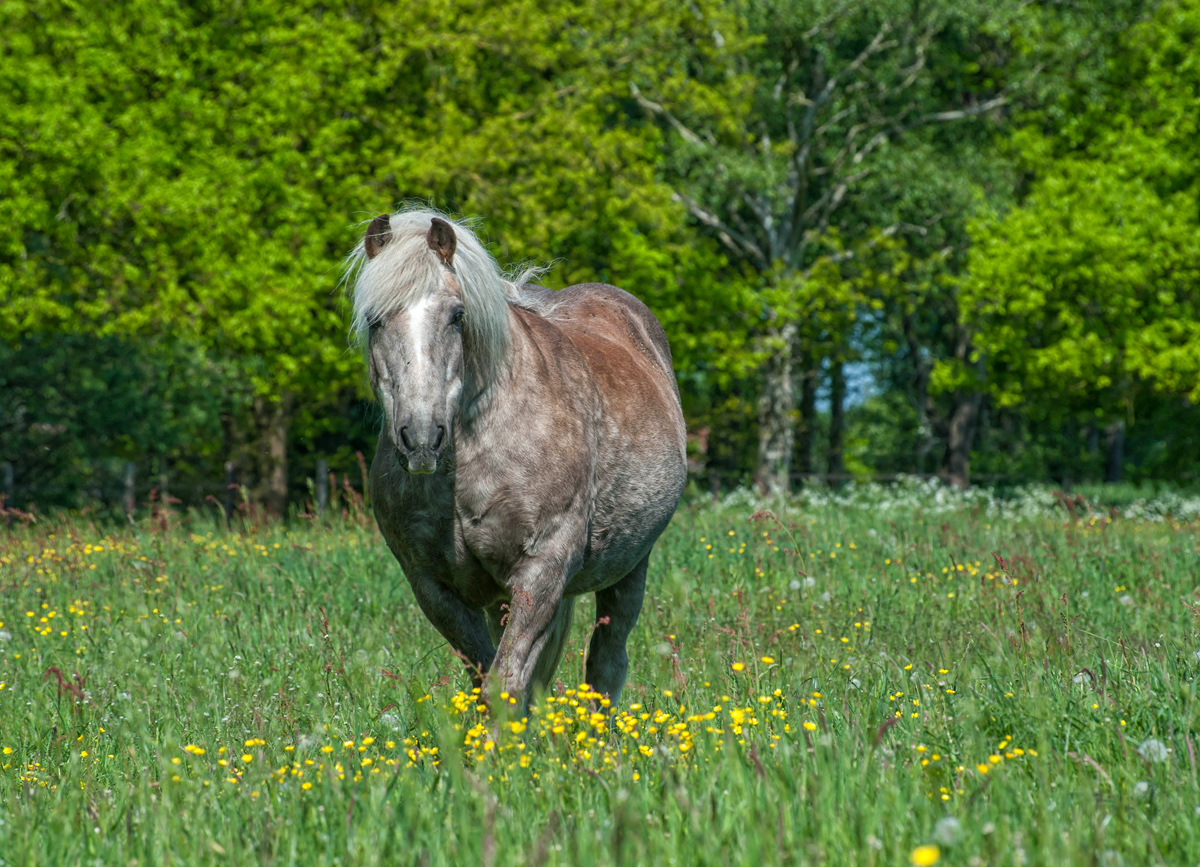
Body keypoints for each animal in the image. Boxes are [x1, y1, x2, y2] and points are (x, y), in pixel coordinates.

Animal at [348, 206, 686, 706]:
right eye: (374, 320)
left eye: (457, 315)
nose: (423, 437)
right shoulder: (434, 587)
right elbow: (488, 681)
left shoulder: (541, 570)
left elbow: (505, 684)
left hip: (630, 568)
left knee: (606, 664)